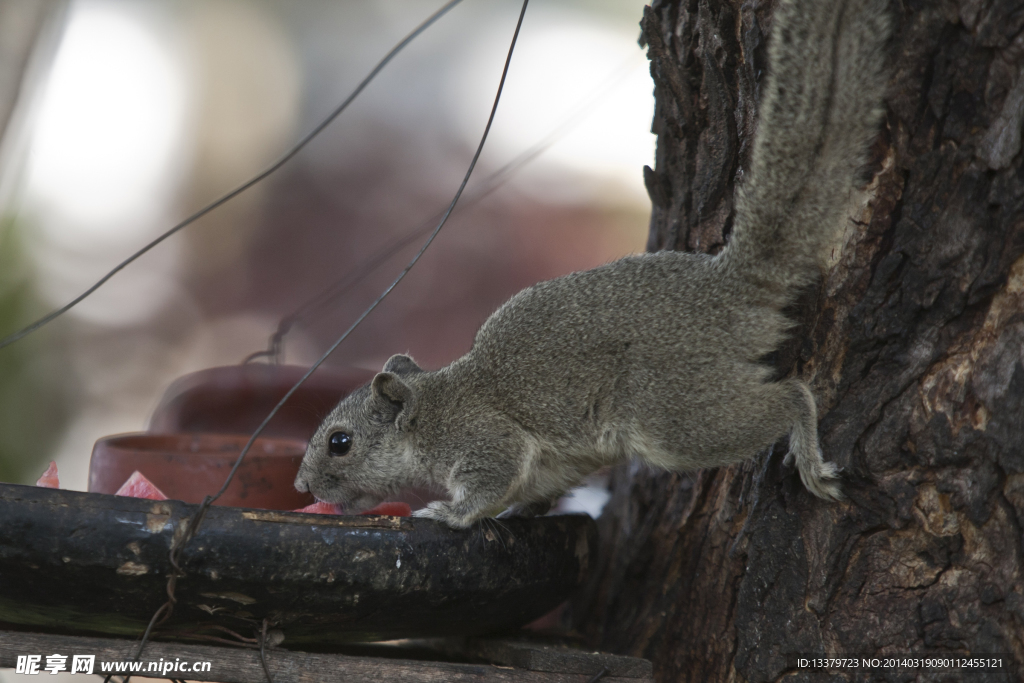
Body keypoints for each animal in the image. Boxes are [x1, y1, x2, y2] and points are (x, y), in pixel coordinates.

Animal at [294, 0, 888, 528]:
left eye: (340, 443)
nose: (301, 486)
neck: (431, 410)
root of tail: (729, 291)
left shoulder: (484, 437)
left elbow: (490, 480)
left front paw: (448, 513)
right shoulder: (549, 470)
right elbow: (535, 493)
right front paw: (519, 513)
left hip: (670, 412)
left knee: (790, 396)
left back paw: (810, 454)